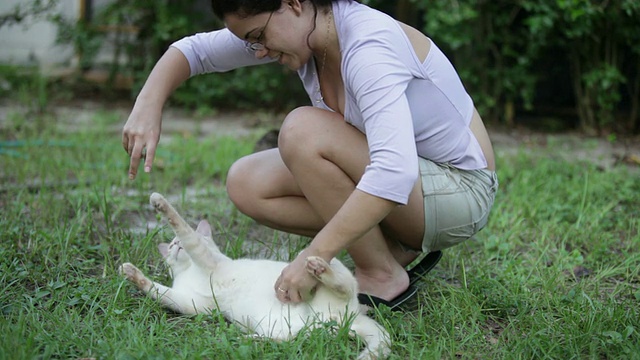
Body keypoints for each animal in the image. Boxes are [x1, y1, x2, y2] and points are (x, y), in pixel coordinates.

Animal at [119, 193, 390, 358]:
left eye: (176, 243)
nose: (176, 246)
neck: (188, 270)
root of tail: (351, 318)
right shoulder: (190, 303)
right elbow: (160, 292)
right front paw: (132, 274)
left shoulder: (205, 258)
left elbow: (182, 226)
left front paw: (161, 204)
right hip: (296, 327)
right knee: (293, 340)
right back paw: (246, 339)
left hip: (328, 268)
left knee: (343, 286)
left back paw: (319, 269)